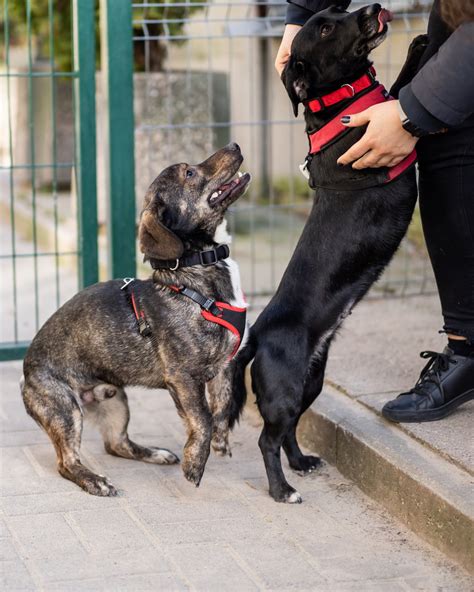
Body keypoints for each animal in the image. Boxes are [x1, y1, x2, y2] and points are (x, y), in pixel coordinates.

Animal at [21, 143, 252, 494]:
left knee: (116, 444)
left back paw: (154, 453)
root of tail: (26, 370)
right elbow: (203, 419)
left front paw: (221, 444)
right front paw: (195, 464)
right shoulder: (182, 377)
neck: (198, 270)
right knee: (66, 462)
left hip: (116, 400)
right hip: (64, 409)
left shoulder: (225, 367)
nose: (234, 145)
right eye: (189, 172)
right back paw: (94, 480)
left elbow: (222, 409)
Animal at [231, 4, 416, 504]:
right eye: (329, 26)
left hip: (309, 383)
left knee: (291, 430)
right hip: (286, 388)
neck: (340, 105)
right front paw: (422, 45)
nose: (373, 7)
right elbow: (403, 96)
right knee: (267, 439)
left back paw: (301, 463)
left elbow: (396, 93)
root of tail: (257, 337)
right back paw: (282, 489)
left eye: (336, 10)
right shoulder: (390, 148)